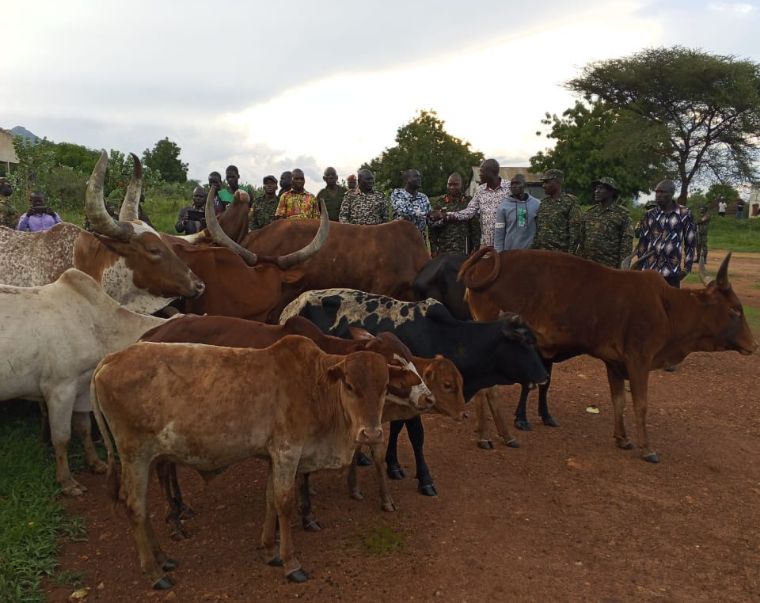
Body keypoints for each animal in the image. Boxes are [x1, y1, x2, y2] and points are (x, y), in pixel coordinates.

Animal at [0, 269, 167, 495]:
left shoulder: (82, 389)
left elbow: (84, 428)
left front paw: (95, 463)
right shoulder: (60, 389)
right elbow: (62, 438)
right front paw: (67, 482)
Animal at [90, 336, 397, 587]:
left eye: (384, 388)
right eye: (349, 385)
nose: (371, 433)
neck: (314, 385)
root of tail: (111, 358)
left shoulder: (274, 455)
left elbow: (270, 499)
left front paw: (270, 551)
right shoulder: (287, 451)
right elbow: (284, 503)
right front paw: (291, 563)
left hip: (148, 458)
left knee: (142, 509)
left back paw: (163, 559)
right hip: (135, 455)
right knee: (135, 507)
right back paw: (155, 573)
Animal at [139, 314, 463, 536]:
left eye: (410, 359)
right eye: (394, 366)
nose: (428, 398)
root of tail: (150, 335)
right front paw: (307, 516)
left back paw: (181, 508)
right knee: (163, 468)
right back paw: (175, 519)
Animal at [280, 288, 548, 495]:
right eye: (525, 342)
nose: (544, 376)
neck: (444, 335)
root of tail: (291, 307)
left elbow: (397, 428)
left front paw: (393, 464)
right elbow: (417, 436)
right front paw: (425, 479)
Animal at [458, 247, 758, 462]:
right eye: (735, 310)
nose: (753, 345)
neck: (667, 308)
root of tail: (485, 267)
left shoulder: (615, 364)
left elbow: (619, 401)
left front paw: (622, 438)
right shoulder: (639, 360)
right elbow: (640, 404)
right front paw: (647, 448)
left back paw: (488, 433)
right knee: (488, 388)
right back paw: (497, 434)